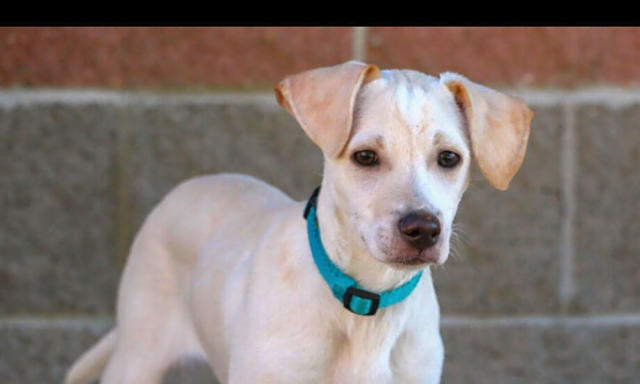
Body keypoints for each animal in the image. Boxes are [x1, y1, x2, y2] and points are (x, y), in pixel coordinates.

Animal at [67, 60, 532, 384]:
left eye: (449, 158)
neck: (366, 304)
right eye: (366, 156)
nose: (423, 229)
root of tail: (197, 183)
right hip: (137, 356)